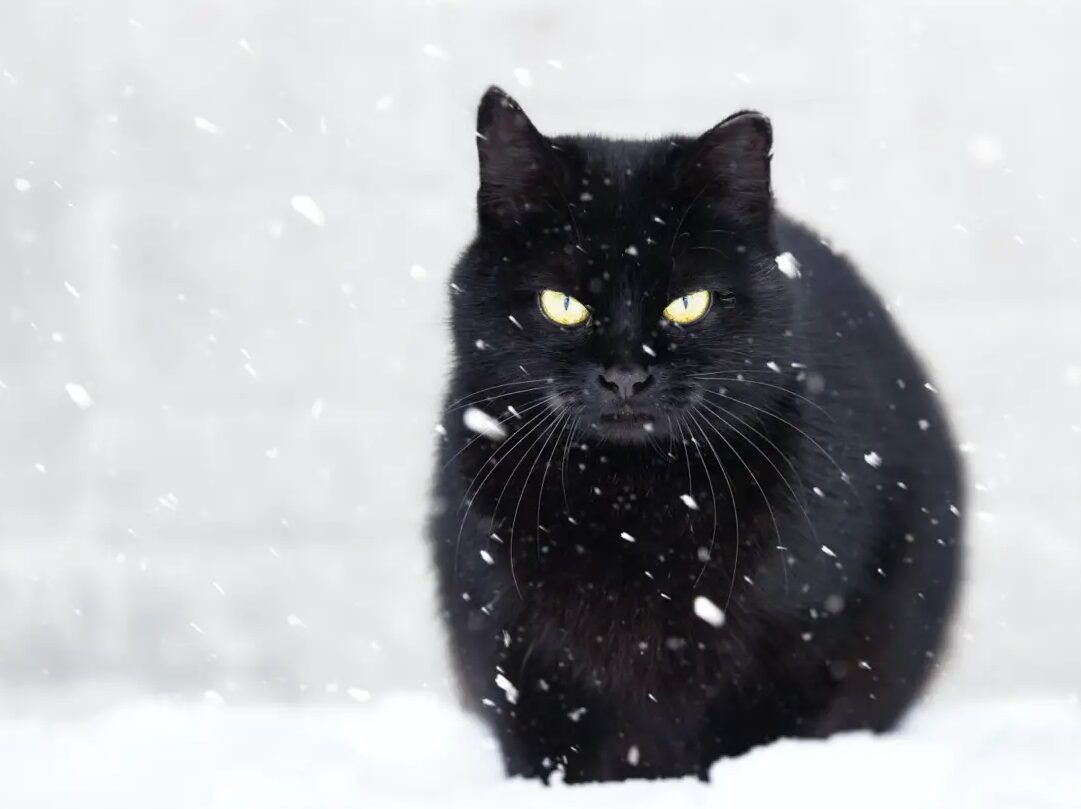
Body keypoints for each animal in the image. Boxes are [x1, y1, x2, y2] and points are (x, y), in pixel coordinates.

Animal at [425, 88, 968, 783]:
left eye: (688, 303)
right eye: (563, 304)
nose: (626, 375)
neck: (628, 502)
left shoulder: (806, 628)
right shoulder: (510, 637)